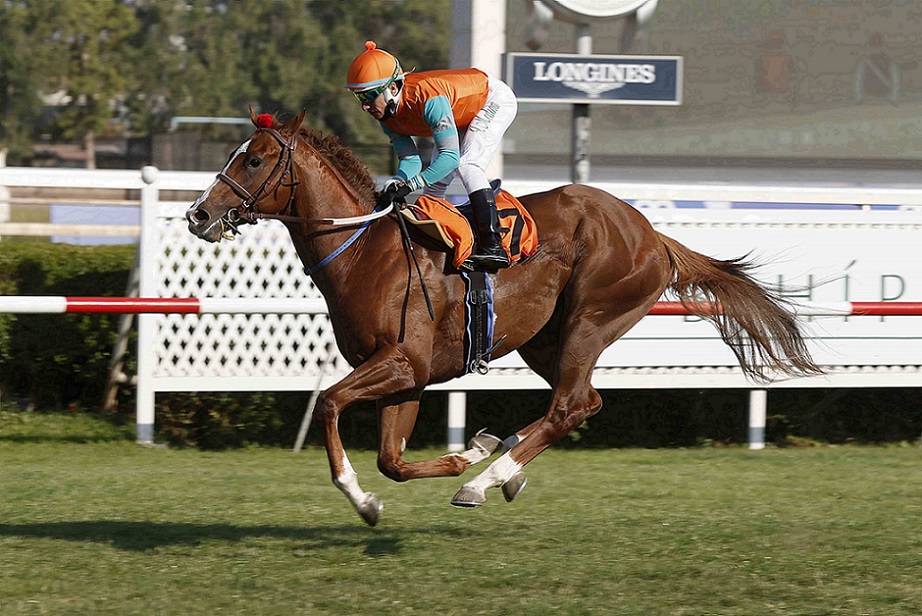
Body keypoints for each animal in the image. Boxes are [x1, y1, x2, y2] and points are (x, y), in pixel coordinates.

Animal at [186, 109, 822, 526]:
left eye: (256, 159)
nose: (198, 214)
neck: (364, 251)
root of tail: (652, 234)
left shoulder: (401, 362)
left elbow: (329, 402)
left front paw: (363, 498)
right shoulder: (408, 377)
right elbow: (392, 461)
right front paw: (461, 454)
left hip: (591, 317)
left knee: (569, 406)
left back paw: (484, 481)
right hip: (542, 338)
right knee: (583, 401)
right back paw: (501, 463)